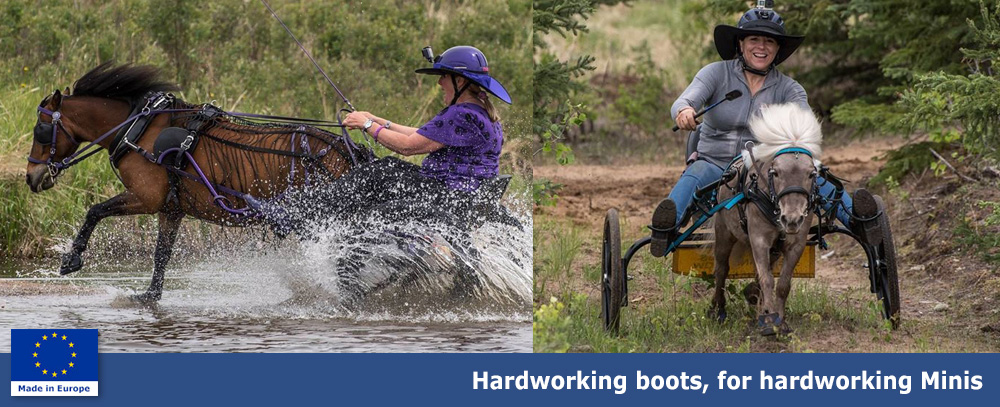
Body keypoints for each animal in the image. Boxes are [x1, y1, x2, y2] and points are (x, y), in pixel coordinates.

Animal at [712, 103, 820, 336]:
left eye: (811, 174)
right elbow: (767, 279)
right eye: (775, 172)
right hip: (724, 232)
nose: (791, 219)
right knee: (721, 269)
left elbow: (783, 283)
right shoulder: (759, 239)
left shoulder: (795, 244)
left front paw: (778, 318)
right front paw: (770, 321)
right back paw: (717, 308)